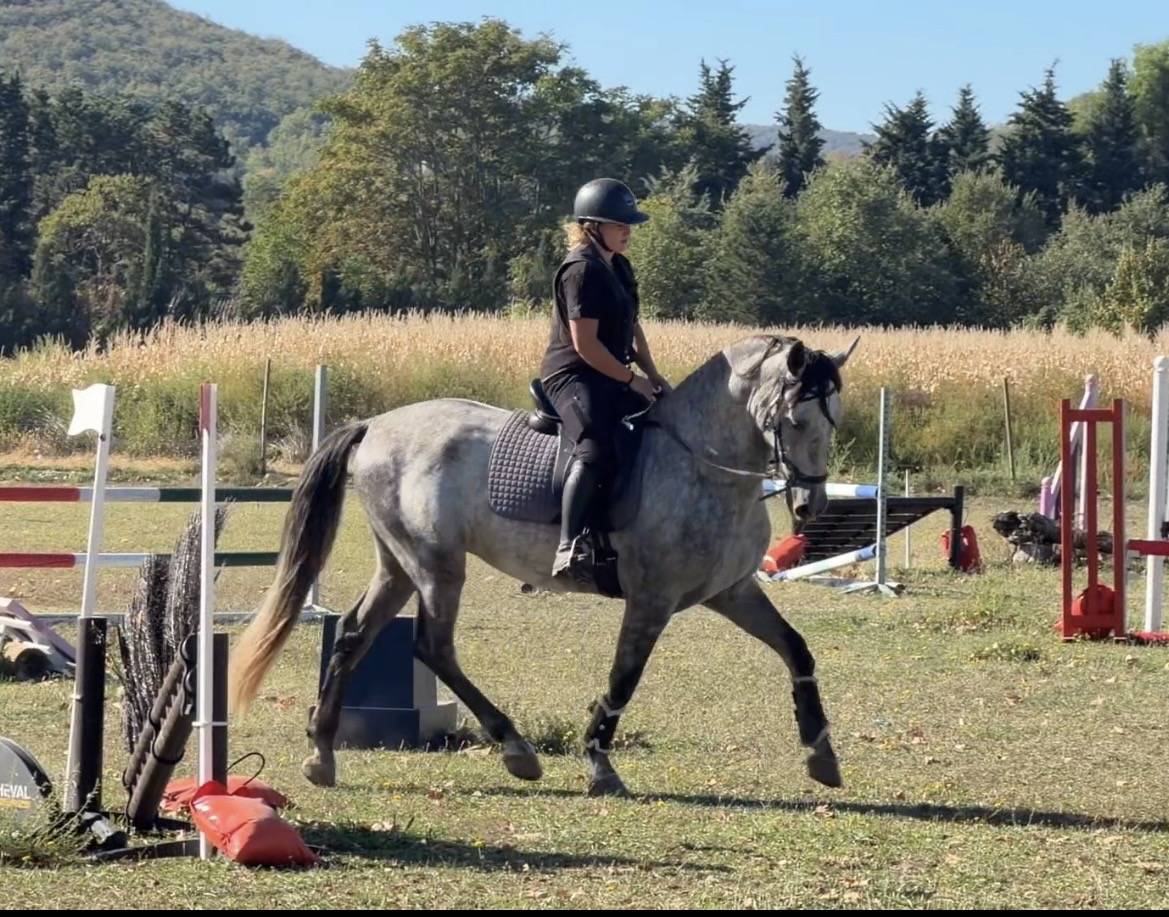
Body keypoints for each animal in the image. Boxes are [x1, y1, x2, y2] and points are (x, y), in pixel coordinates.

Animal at [229, 333, 857, 797]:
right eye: (796, 421)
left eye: (835, 421)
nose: (810, 505)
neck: (702, 466)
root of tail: (377, 424)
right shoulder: (651, 601)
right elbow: (623, 678)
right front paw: (600, 765)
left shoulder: (731, 591)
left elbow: (796, 648)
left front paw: (821, 753)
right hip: (436, 564)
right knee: (433, 647)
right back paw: (515, 749)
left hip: (398, 565)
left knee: (354, 636)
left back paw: (321, 753)